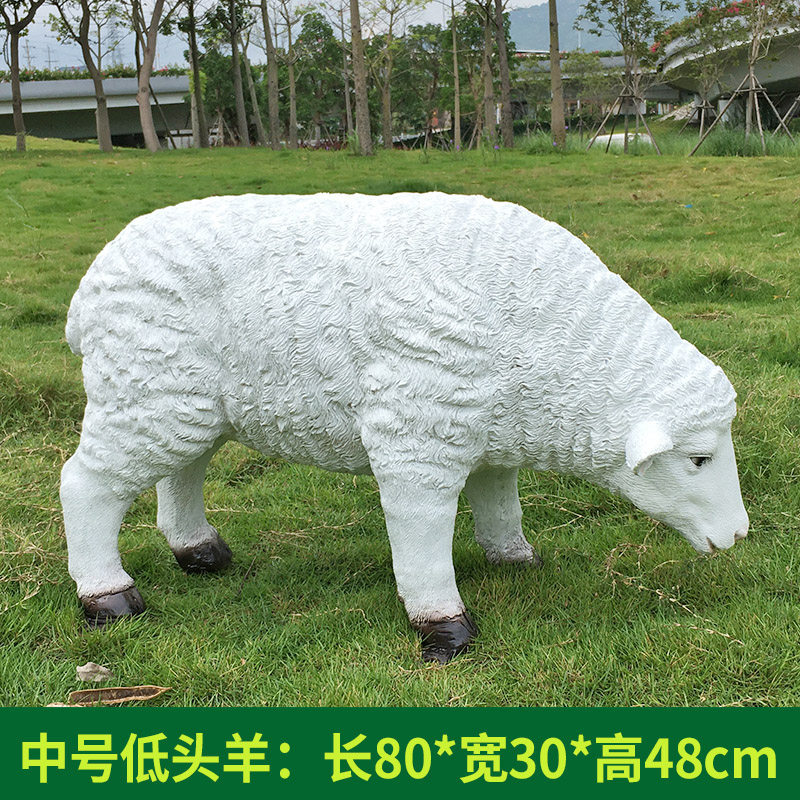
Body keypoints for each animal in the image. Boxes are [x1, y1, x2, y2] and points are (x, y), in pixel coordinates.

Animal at [60, 192, 749, 663]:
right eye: (698, 459)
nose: (740, 536)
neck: (551, 345)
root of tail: (90, 284)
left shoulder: (488, 428)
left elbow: (500, 500)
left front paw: (516, 560)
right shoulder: (420, 425)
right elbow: (421, 529)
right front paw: (444, 629)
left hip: (181, 397)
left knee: (182, 471)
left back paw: (199, 551)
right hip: (141, 387)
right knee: (84, 484)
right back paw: (108, 598)